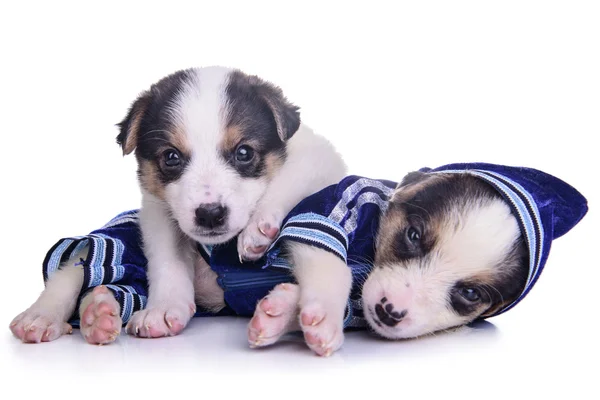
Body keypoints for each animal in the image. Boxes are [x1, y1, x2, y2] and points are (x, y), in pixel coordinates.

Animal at [8, 66, 346, 344]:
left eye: (244, 152)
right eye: (171, 157)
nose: (210, 214)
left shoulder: (319, 158)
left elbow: (287, 179)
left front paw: (258, 229)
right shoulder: (158, 213)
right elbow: (167, 260)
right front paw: (164, 307)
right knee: (77, 270)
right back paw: (76, 315)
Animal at [247, 162, 584, 356]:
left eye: (470, 293)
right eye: (413, 235)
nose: (389, 312)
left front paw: (281, 313)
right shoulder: (321, 214)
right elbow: (334, 267)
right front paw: (324, 317)